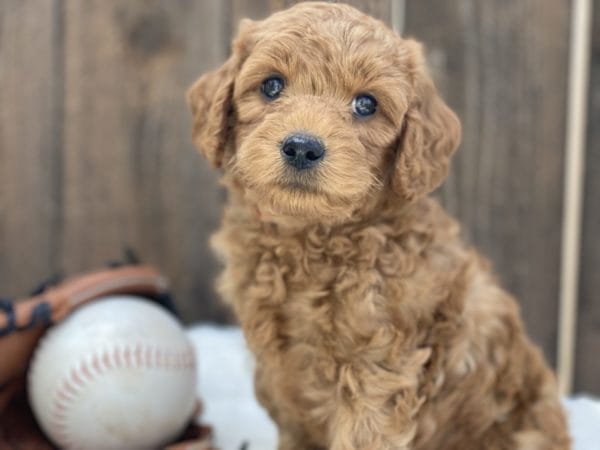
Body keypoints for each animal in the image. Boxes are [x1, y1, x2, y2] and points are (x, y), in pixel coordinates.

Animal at [189, 1, 572, 448]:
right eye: (271, 86)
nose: (302, 147)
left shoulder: (378, 373)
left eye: (366, 105)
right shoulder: (279, 377)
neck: (312, 240)